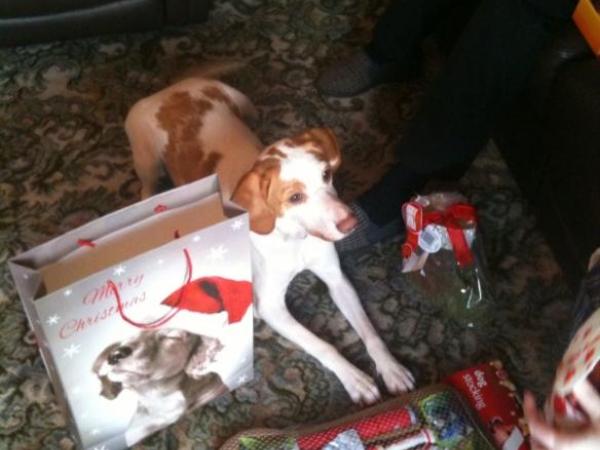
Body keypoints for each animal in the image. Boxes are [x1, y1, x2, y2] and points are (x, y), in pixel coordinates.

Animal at [125, 77, 415, 404]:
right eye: (295, 197)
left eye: (326, 174)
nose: (350, 222)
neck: (292, 239)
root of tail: (168, 90)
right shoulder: (272, 307)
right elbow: (322, 345)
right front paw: (354, 378)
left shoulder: (336, 278)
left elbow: (370, 332)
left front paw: (391, 368)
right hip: (147, 161)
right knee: (146, 188)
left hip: (243, 102)